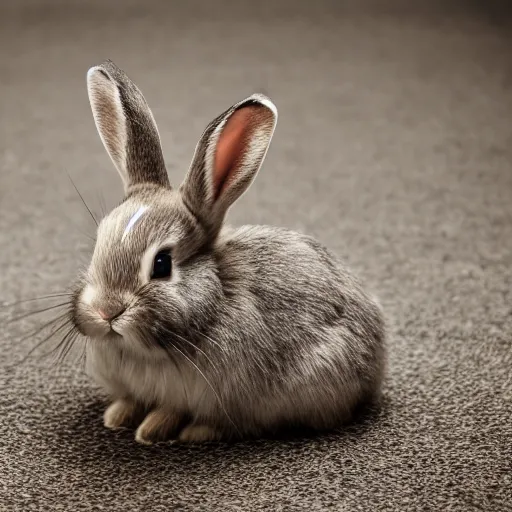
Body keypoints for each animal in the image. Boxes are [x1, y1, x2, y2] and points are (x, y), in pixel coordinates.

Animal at [70, 60, 386, 444]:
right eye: (99, 243)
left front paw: (152, 429)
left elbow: (174, 411)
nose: (106, 311)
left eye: (162, 264)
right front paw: (116, 416)